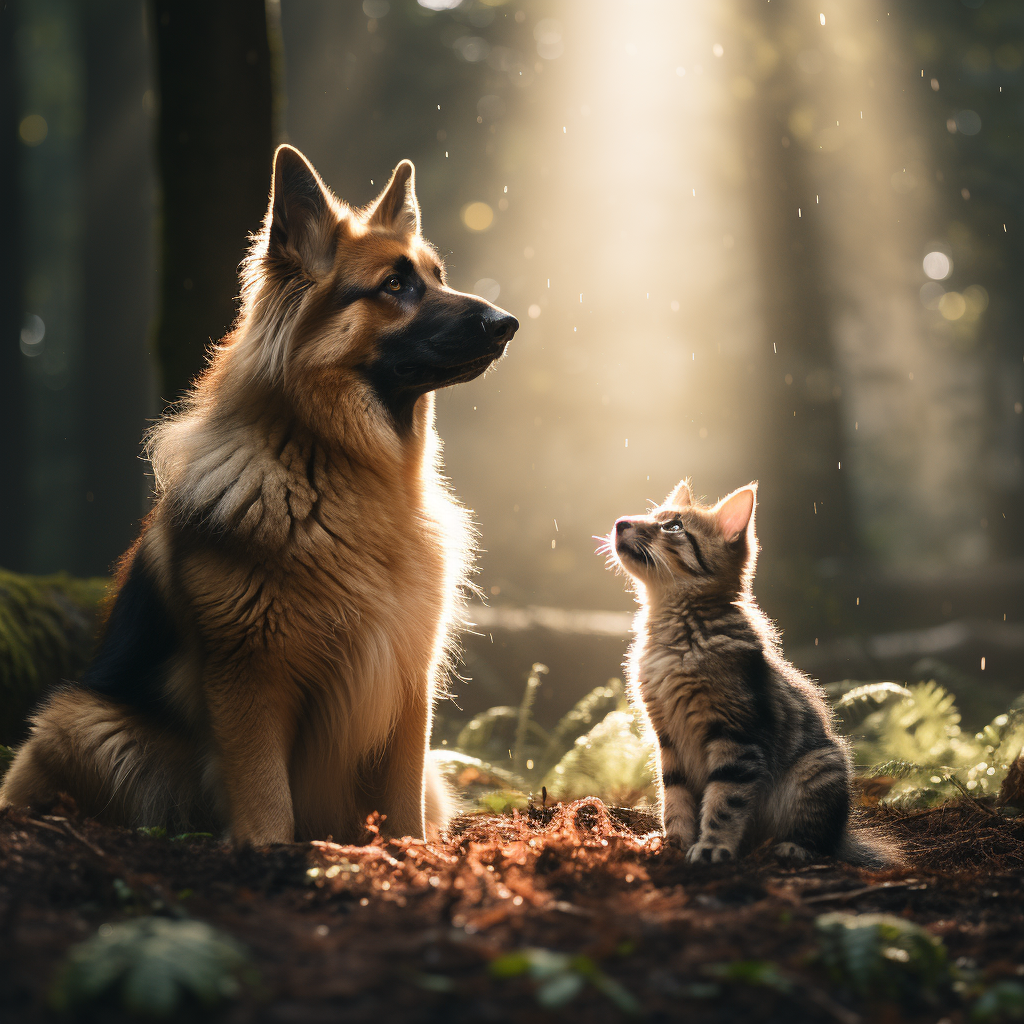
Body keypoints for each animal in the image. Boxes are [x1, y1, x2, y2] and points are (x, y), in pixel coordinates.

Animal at [0, 146, 516, 847]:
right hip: (81, 721)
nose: (507, 324)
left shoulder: (409, 675)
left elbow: (403, 800)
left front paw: (409, 854)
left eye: (437, 277)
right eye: (394, 285)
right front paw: (266, 852)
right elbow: (266, 796)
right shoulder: (251, 678)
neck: (347, 476)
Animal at [602, 475, 901, 868]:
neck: (673, 631)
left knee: (821, 840)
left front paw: (712, 846)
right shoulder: (666, 737)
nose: (621, 522)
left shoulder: (736, 736)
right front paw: (674, 843)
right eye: (654, 516)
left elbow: (723, 802)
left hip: (820, 767)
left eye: (673, 527)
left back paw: (793, 848)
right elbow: (675, 798)